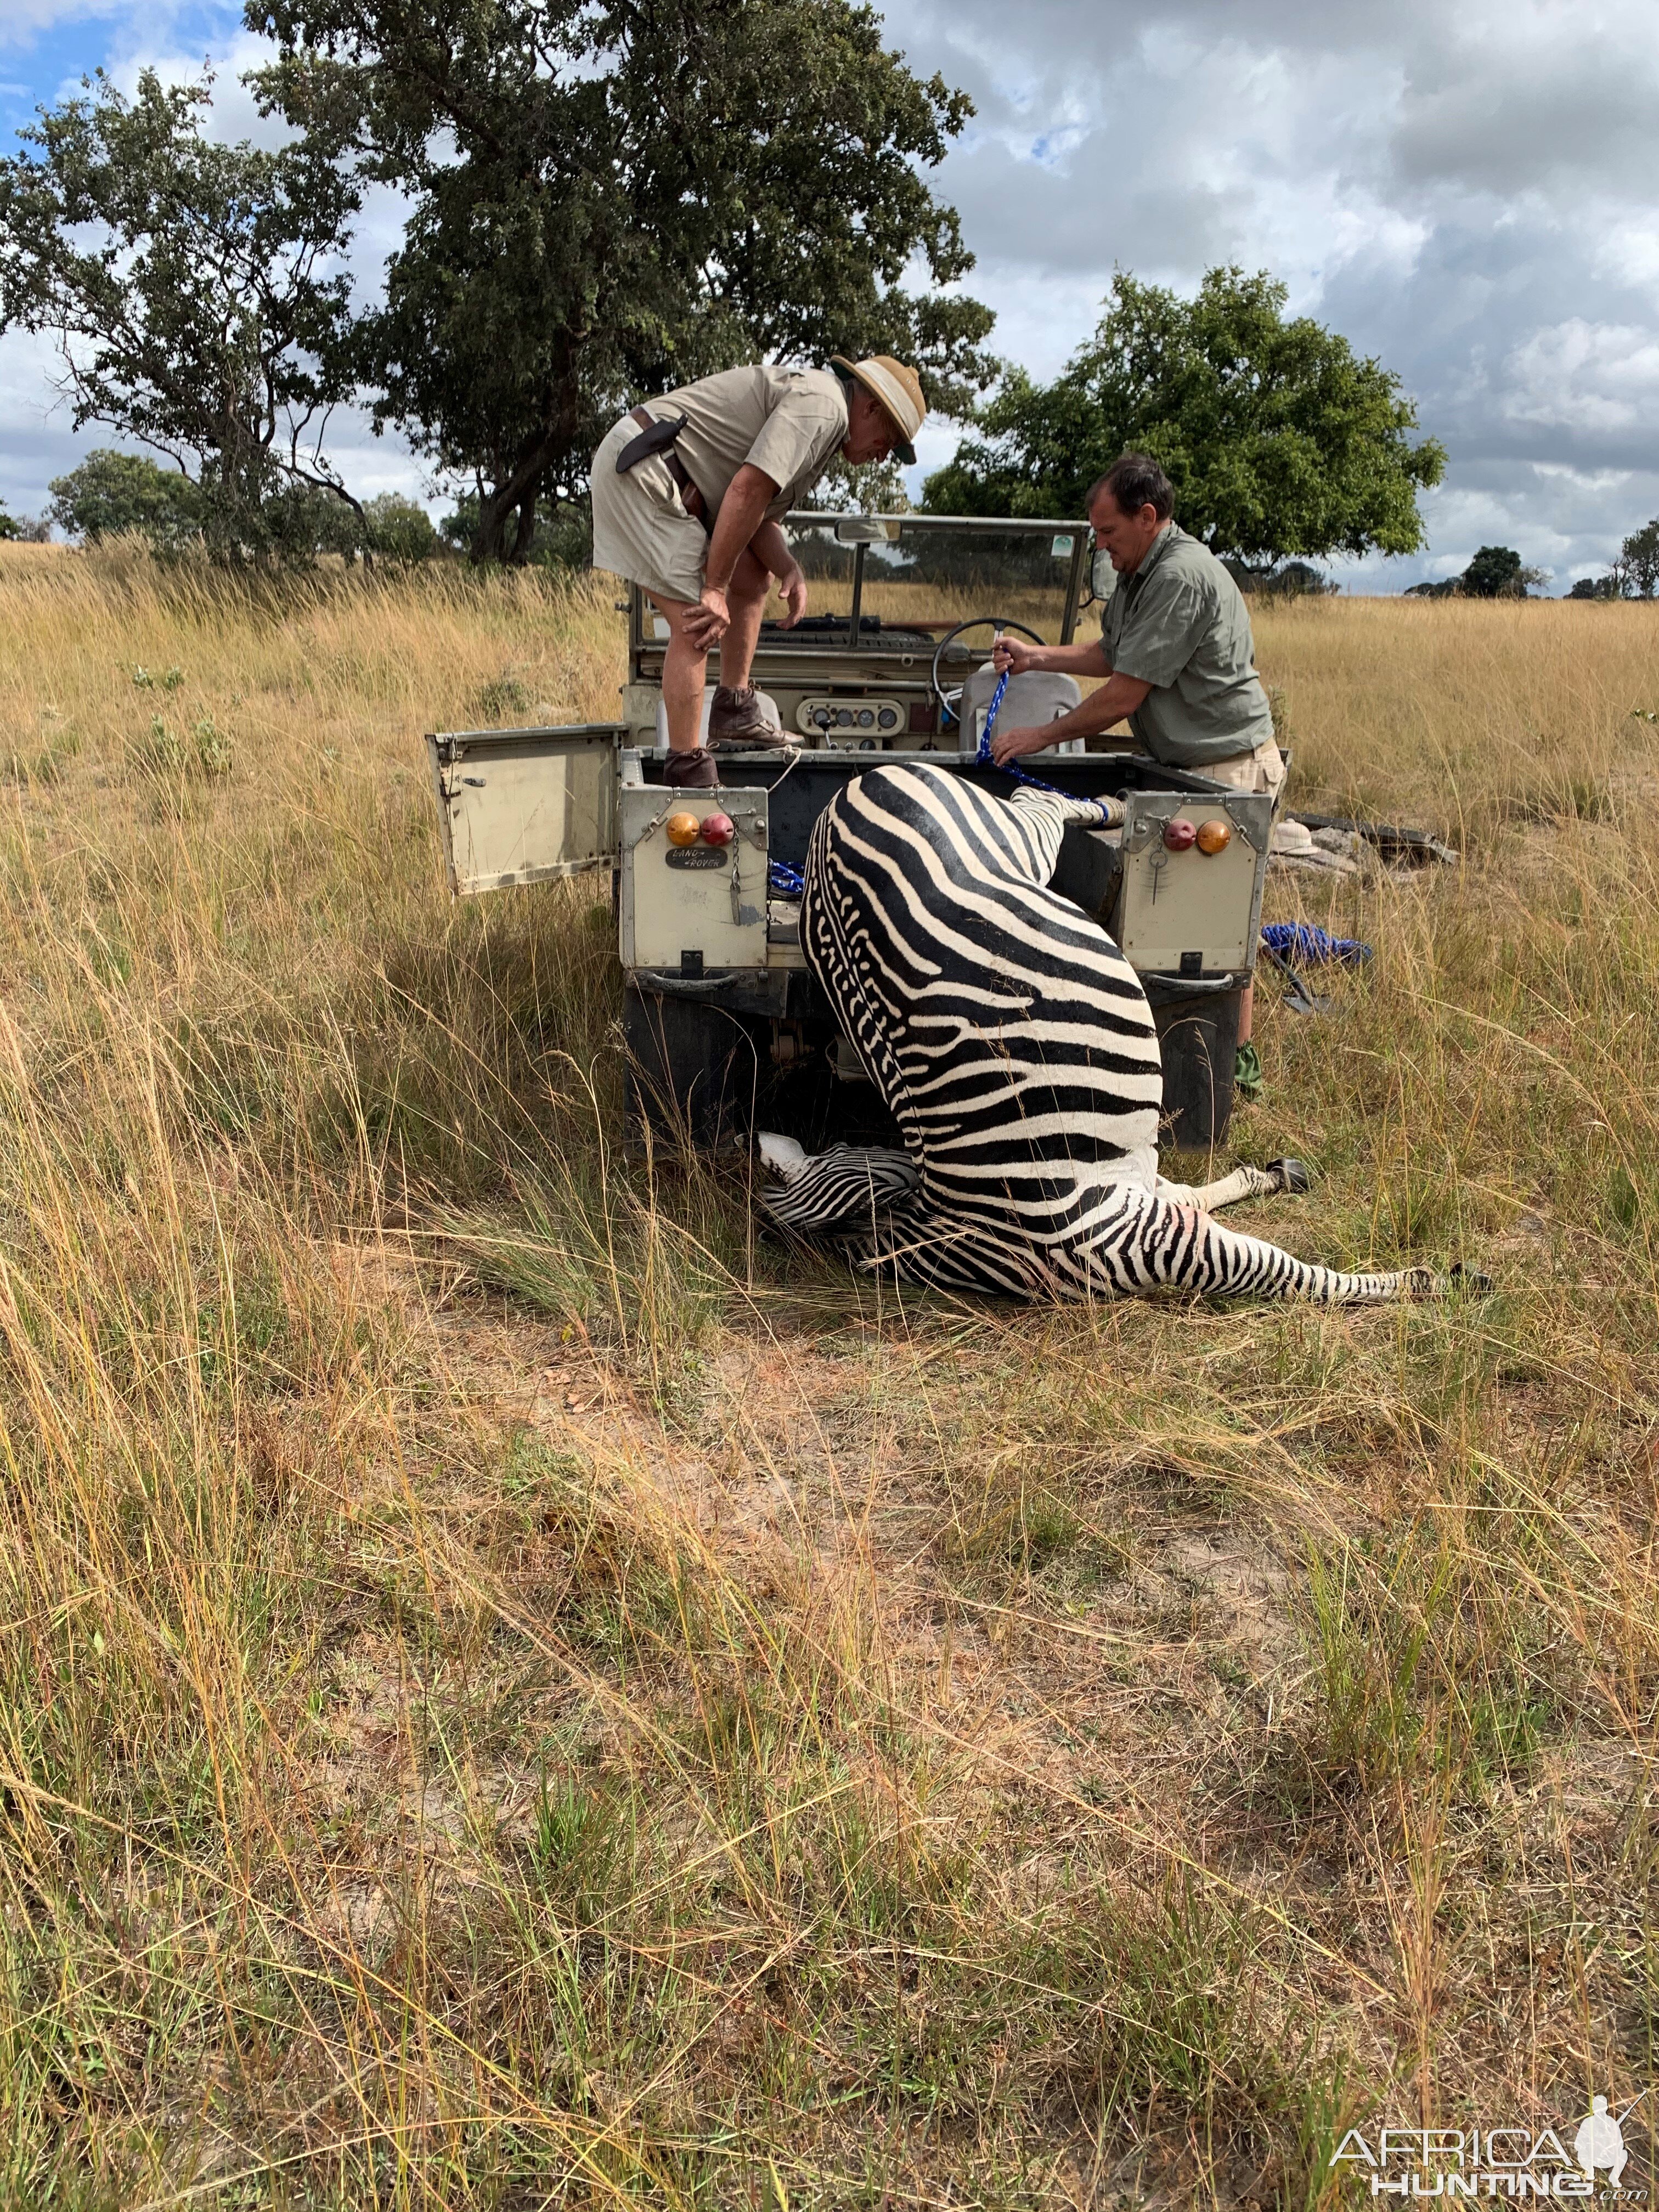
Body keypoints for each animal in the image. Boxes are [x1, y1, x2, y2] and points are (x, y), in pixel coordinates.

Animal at [761, 770, 1486, 1300]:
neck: (949, 1229)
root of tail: (841, 799)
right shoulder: (1158, 1233)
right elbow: (1283, 1267)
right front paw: (1428, 1281)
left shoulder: (1140, 1215)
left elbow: (1249, 1236)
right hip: (1012, 840)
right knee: (1038, 804)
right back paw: (1108, 803)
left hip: (1004, 837)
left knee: (1038, 800)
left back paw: (1107, 803)